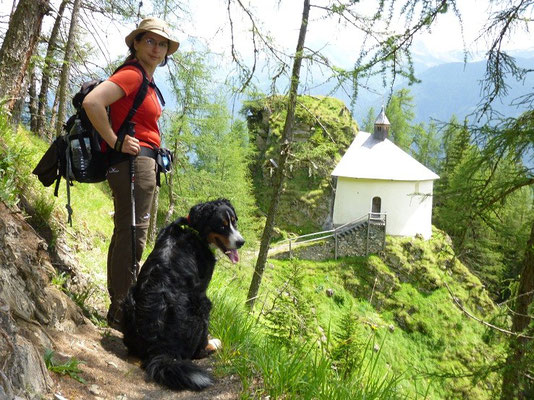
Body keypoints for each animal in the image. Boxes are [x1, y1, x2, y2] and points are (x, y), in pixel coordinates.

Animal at [121, 198, 245, 392]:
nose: (241, 242)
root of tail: (158, 348)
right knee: (196, 353)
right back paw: (213, 344)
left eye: (234, 221)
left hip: (128, 299)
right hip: (202, 305)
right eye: (222, 226)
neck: (194, 230)